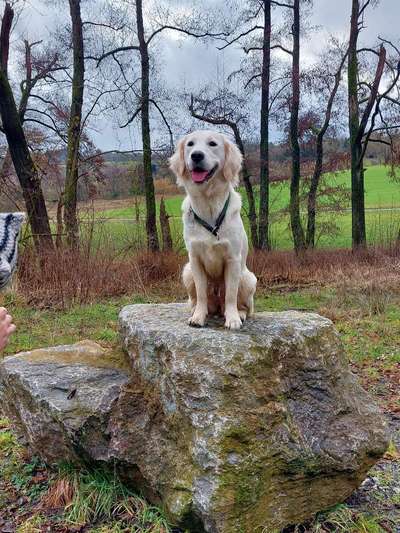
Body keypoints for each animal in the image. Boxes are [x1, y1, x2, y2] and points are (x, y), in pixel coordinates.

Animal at [169, 129, 256, 328]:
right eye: (190, 144)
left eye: (213, 144)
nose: (196, 155)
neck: (208, 204)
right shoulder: (195, 259)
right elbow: (201, 293)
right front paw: (198, 317)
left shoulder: (232, 259)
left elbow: (230, 294)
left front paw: (232, 318)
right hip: (187, 271)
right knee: (197, 299)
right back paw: (197, 310)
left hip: (248, 278)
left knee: (241, 304)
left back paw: (239, 313)